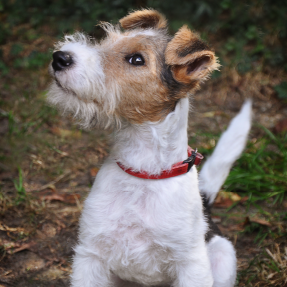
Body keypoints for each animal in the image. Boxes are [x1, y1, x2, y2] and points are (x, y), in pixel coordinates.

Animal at [47, 9, 252, 287]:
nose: (60, 58)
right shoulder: (90, 255)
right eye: (106, 40)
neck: (144, 172)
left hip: (222, 257)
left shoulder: (191, 264)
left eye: (136, 59)